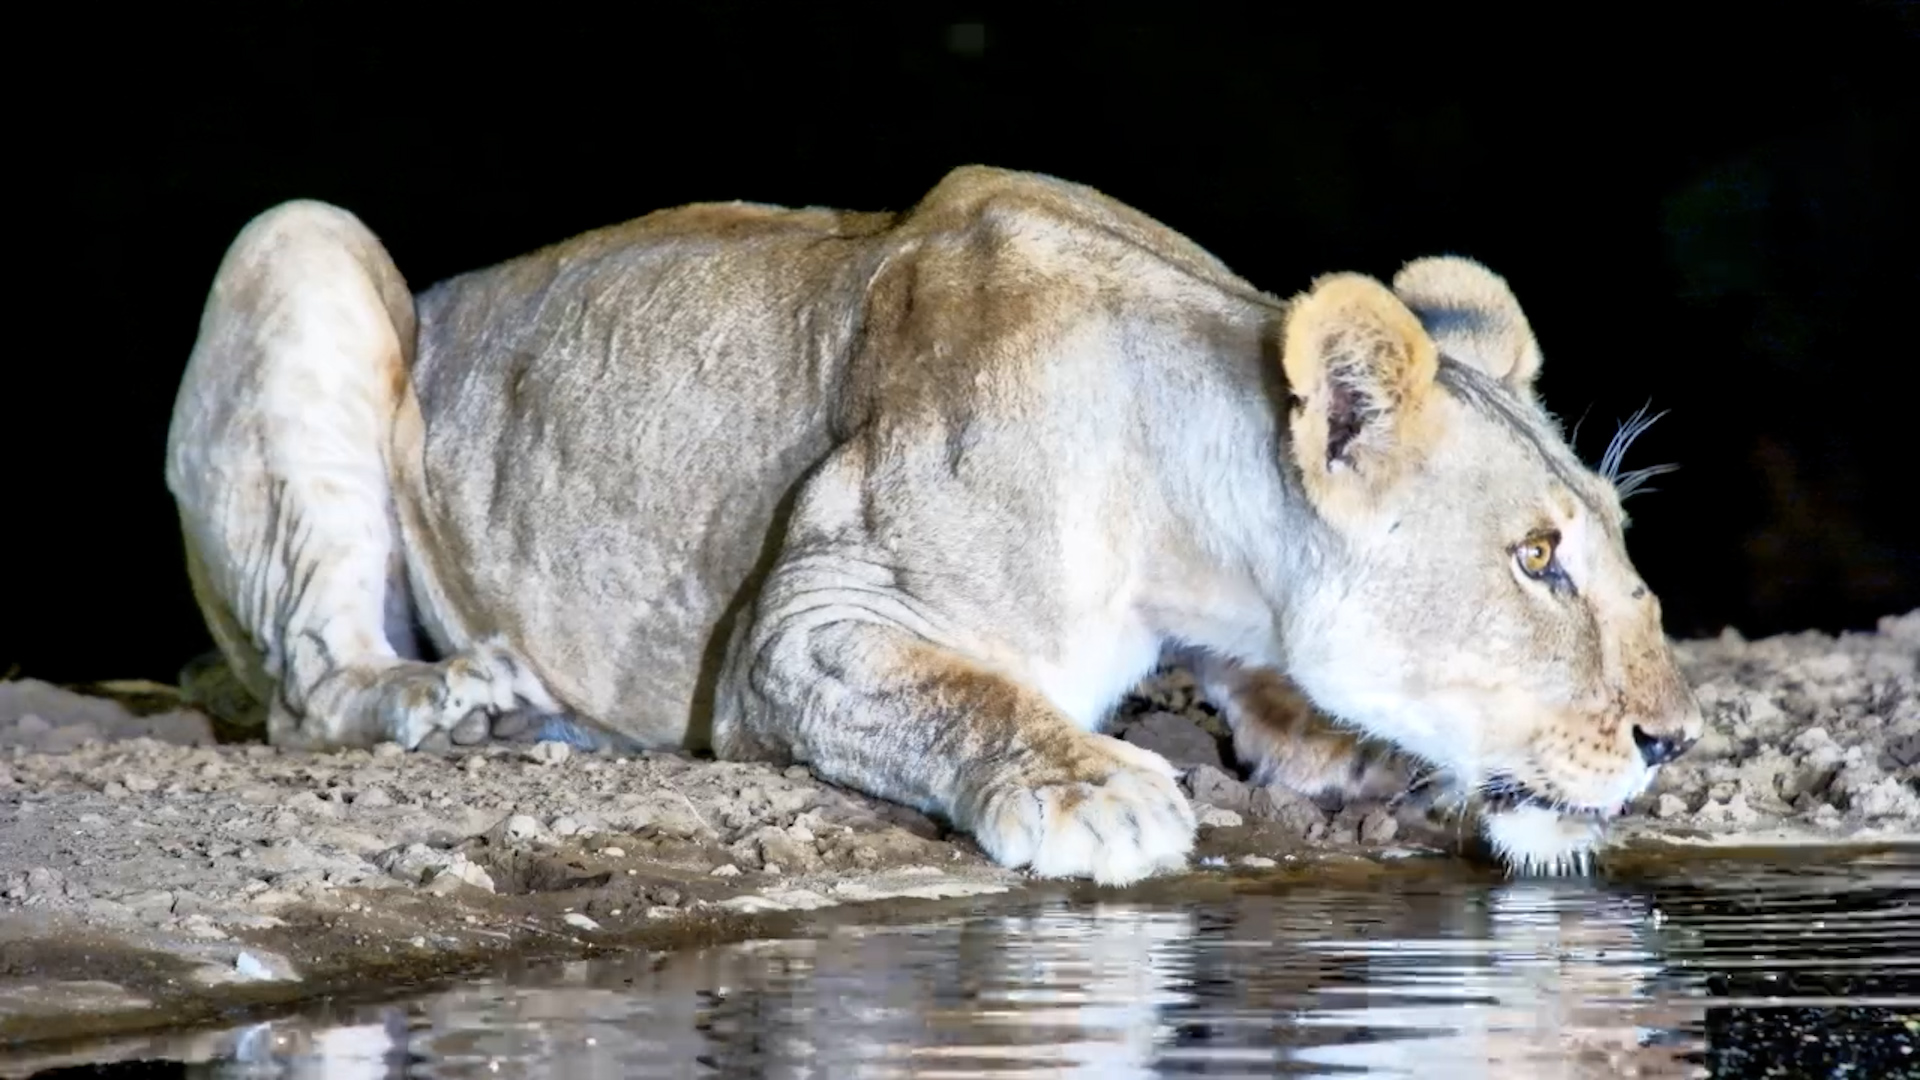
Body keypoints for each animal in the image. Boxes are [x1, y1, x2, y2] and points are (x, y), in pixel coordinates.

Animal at [165, 165, 1703, 885]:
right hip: (302, 242)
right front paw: (1095, 790)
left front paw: (1348, 747)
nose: (1675, 741)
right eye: (1538, 560)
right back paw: (449, 698)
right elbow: (968, 689)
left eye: (1612, 543)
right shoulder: (802, 621)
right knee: (308, 685)